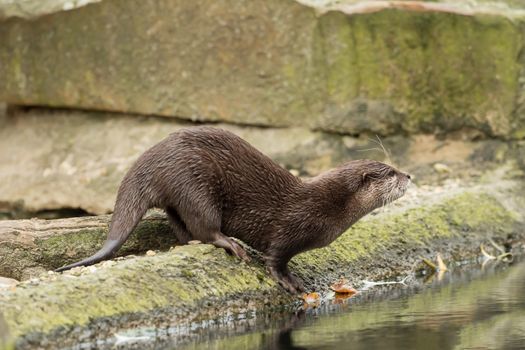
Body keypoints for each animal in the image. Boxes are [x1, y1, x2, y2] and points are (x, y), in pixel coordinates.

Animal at [56, 127, 410, 294]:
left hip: (179, 189)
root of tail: (152, 159)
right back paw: (230, 244)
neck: (325, 206)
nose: (409, 175)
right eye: (390, 172)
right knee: (204, 226)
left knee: (182, 225)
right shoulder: (289, 228)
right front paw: (289, 282)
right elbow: (275, 259)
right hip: (194, 181)